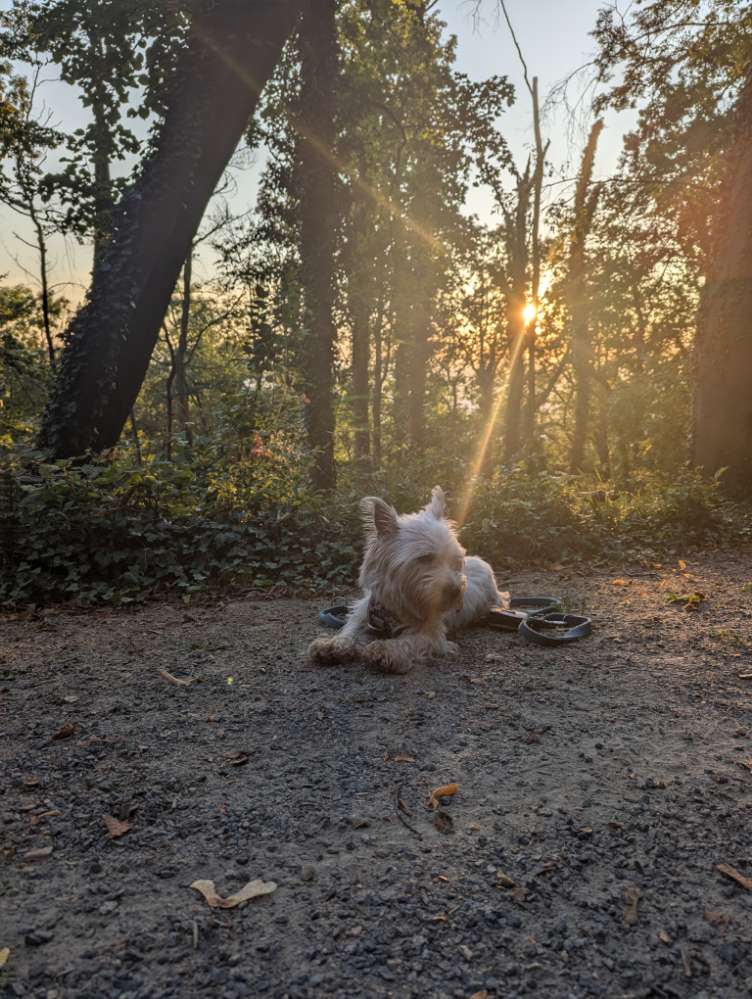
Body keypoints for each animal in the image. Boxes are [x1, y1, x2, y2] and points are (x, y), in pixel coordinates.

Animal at [308, 488, 508, 676]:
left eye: (456, 560)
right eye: (425, 558)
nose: (455, 591)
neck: (399, 604)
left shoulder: (433, 634)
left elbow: (409, 641)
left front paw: (387, 649)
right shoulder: (363, 614)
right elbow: (350, 630)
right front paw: (332, 644)